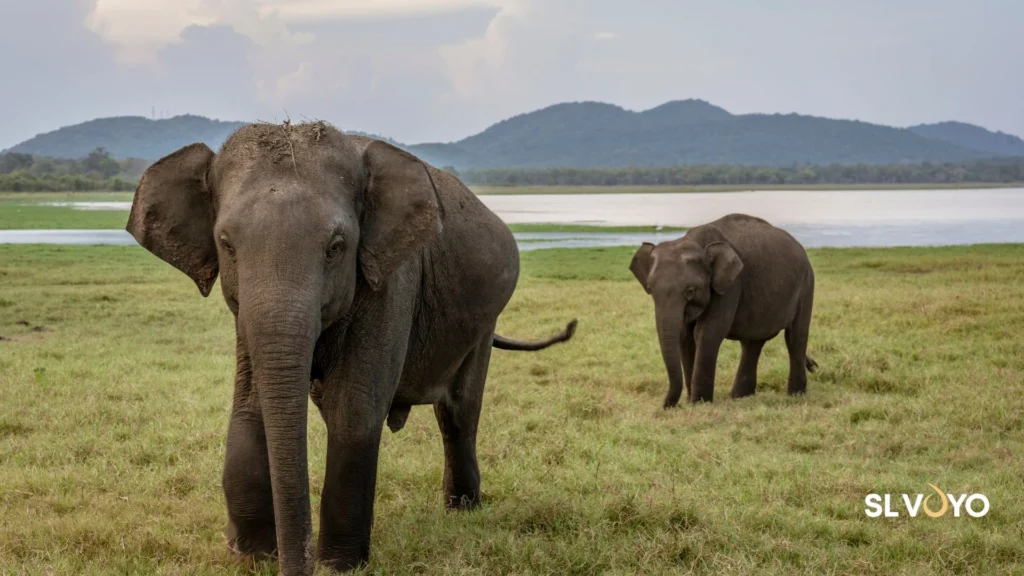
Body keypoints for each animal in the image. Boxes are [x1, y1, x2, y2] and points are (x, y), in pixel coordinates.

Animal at [125, 121, 577, 575]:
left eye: (336, 246)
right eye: (227, 244)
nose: (293, 563)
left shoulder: (392, 279)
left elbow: (354, 410)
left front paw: (339, 564)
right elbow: (251, 407)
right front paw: (252, 555)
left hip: (483, 322)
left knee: (459, 412)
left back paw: (463, 510)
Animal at [629, 214, 817, 408]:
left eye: (690, 291)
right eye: (650, 289)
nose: (668, 407)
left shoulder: (730, 286)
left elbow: (707, 333)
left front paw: (699, 404)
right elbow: (685, 336)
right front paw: (691, 402)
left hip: (806, 283)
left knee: (795, 337)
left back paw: (795, 395)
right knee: (752, 342)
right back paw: (739, 396)